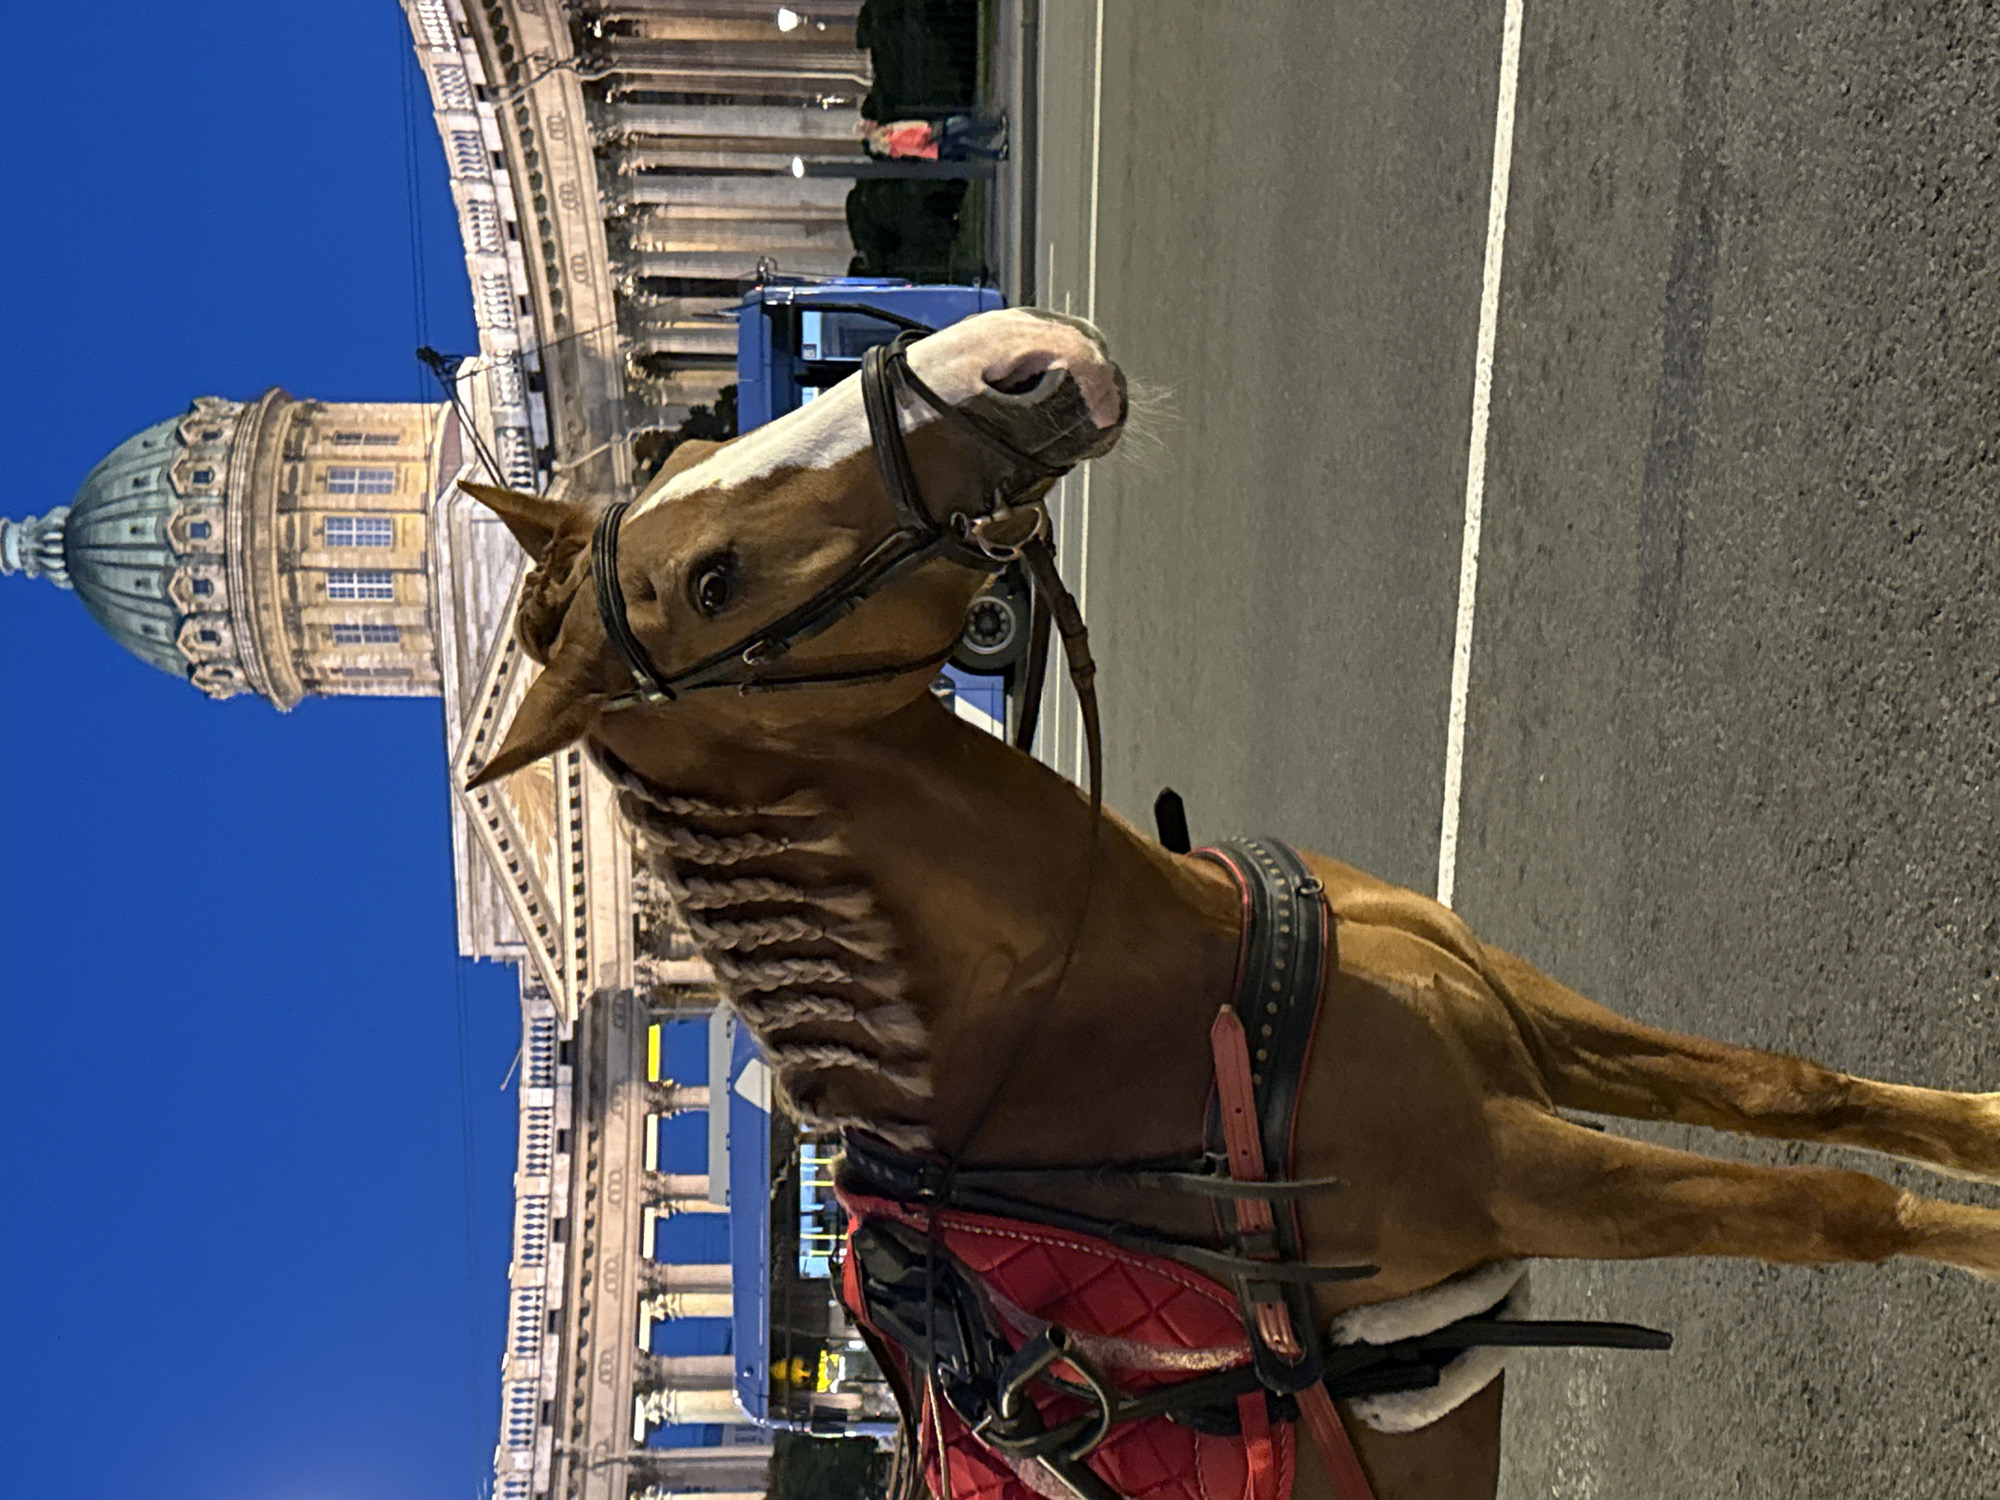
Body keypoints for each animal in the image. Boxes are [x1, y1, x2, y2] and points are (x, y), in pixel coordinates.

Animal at [460, 308, 2000, 1500]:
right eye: (711, 581)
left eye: (692, 455)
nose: (1010, 361)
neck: (1124, 998)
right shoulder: (1521, 1171)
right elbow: (1841, 1211)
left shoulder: (1524, 1019)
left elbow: (1797, 1090)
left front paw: (1977, 1124)